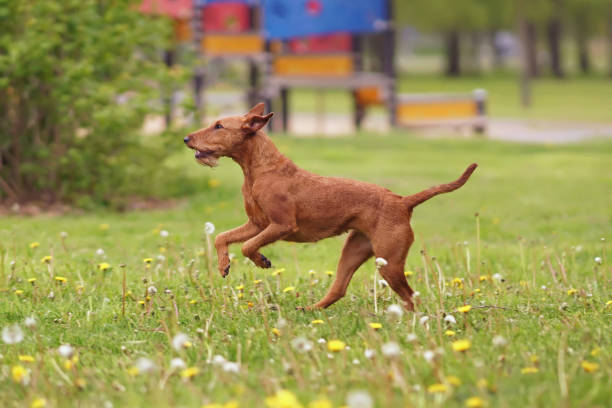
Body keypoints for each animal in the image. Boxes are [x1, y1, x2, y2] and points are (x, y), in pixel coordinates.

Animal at [183, 103, 478, 310]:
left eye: (219, 126)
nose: (186, 138)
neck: (259, 169)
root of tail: (403, 201)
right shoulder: (257, 224)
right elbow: (223, 237)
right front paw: (223, 265)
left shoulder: (281, 225)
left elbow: (247, 246)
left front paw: (261, 260)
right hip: (355, 250)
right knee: (339, 289)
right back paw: (309, 310)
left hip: (390, 262)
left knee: (411, 296)